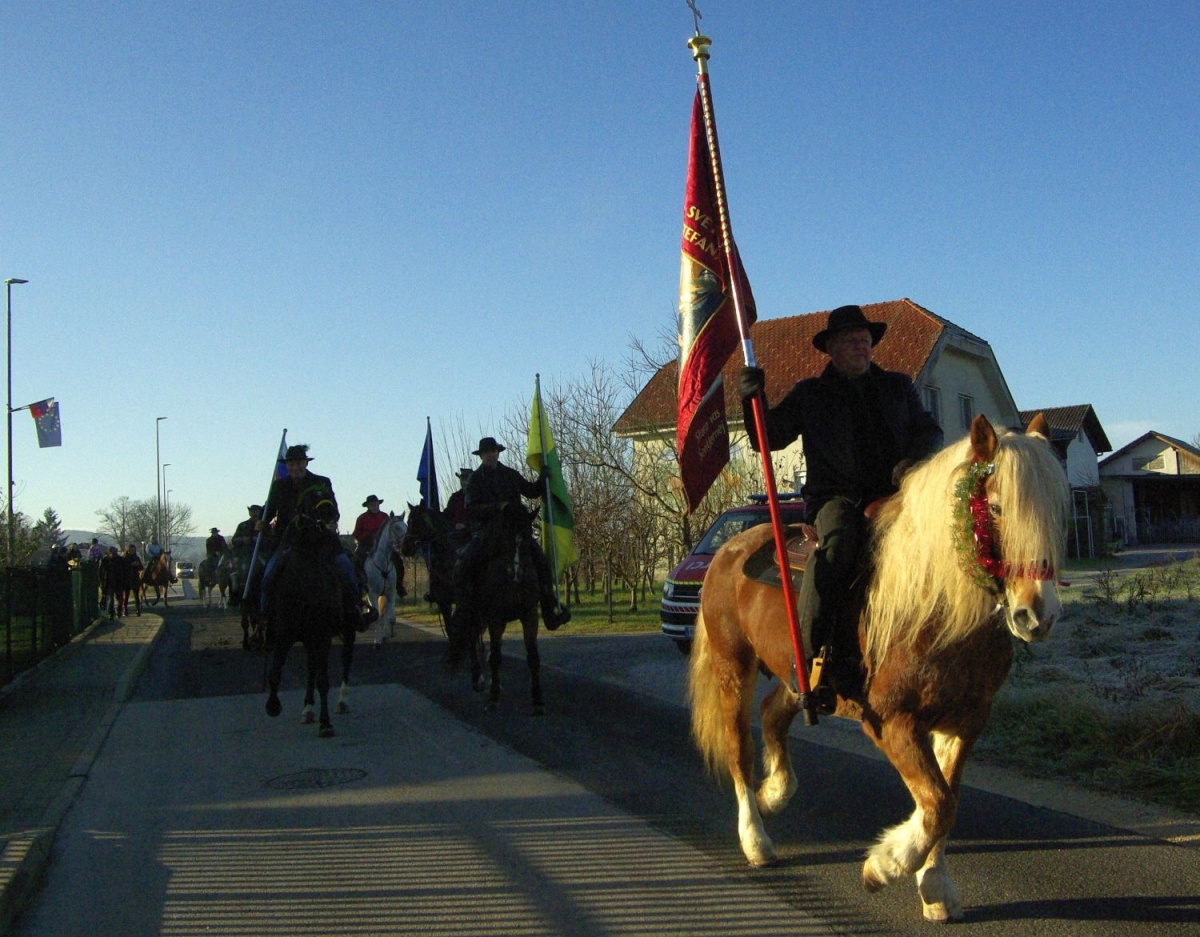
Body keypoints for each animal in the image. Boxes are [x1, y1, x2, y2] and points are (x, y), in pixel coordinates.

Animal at [262, 511, 338, 739]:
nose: (337, 539)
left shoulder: (320, 635)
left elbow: (321, 679)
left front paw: (325, 722)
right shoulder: (285, 633)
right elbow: (275, 671)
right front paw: (273, 705)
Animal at [360, 515, 408, 647]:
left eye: (406, 526)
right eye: (396, 527)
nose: (405, 546)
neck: (382, 564)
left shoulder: (390, 593)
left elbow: (391, 617)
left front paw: (388, 634)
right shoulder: (372, 593)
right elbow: (377, 616)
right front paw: (377, 641)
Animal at [446, 503, 544, 710]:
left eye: (527, 537)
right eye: (505, 537)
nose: (516, 573)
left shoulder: (530, 614)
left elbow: (533, 656)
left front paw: (538, 700)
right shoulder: (495, 617)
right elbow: (496, 656)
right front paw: (493, 698)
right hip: (473, 612)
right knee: (471, 640)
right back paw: (478, 679)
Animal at [691, 415, 1075, 921]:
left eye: (1055, 511)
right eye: (994, 506)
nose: (1038, 615)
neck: (935, 605)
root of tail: (728, 548)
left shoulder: (964, 722)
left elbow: (945, 803)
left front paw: (935, 886)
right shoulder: (893, 723)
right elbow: (938, 804)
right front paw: (885, 866)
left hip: (797, 678)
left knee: (773, 713)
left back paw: (774, 793)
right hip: (732, 666)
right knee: (740, 751)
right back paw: (756, 839)